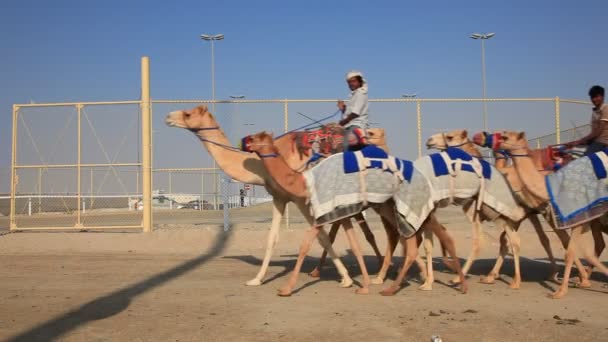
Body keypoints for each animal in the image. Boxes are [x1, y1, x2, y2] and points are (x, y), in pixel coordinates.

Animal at [164, 104, 406, 286]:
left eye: (188, 114)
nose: (168, 116)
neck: (263, 165)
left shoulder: (301, 199)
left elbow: (321, 235)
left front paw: (345, 278)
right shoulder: (279, 197)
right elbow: (272, 238)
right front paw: (257, 279)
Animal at [242, 131, 466, 296]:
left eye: (256, 138)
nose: (244, 141)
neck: (304, 181)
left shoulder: (324, 214)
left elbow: (306, 245)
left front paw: (286, 289)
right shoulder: (343, 214)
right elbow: (354, 245)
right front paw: (363, 285)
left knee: (427, 237)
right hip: (392, 208)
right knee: (409, 238)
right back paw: (407, 282)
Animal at [426, 130, 588, 284]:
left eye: (450, 137)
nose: (429, 140)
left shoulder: (488, 215)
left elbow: (480, 242)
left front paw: (458, 277)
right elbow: (504, 242)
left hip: (543, 211)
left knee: (561, 238)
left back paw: (581, 276)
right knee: (542, 239)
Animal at [484, 130, 608, 298]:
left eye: (505, 136)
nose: (485, 136)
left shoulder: (574, 217)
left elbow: (567, 249)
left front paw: (560, 290)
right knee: (598, 245)